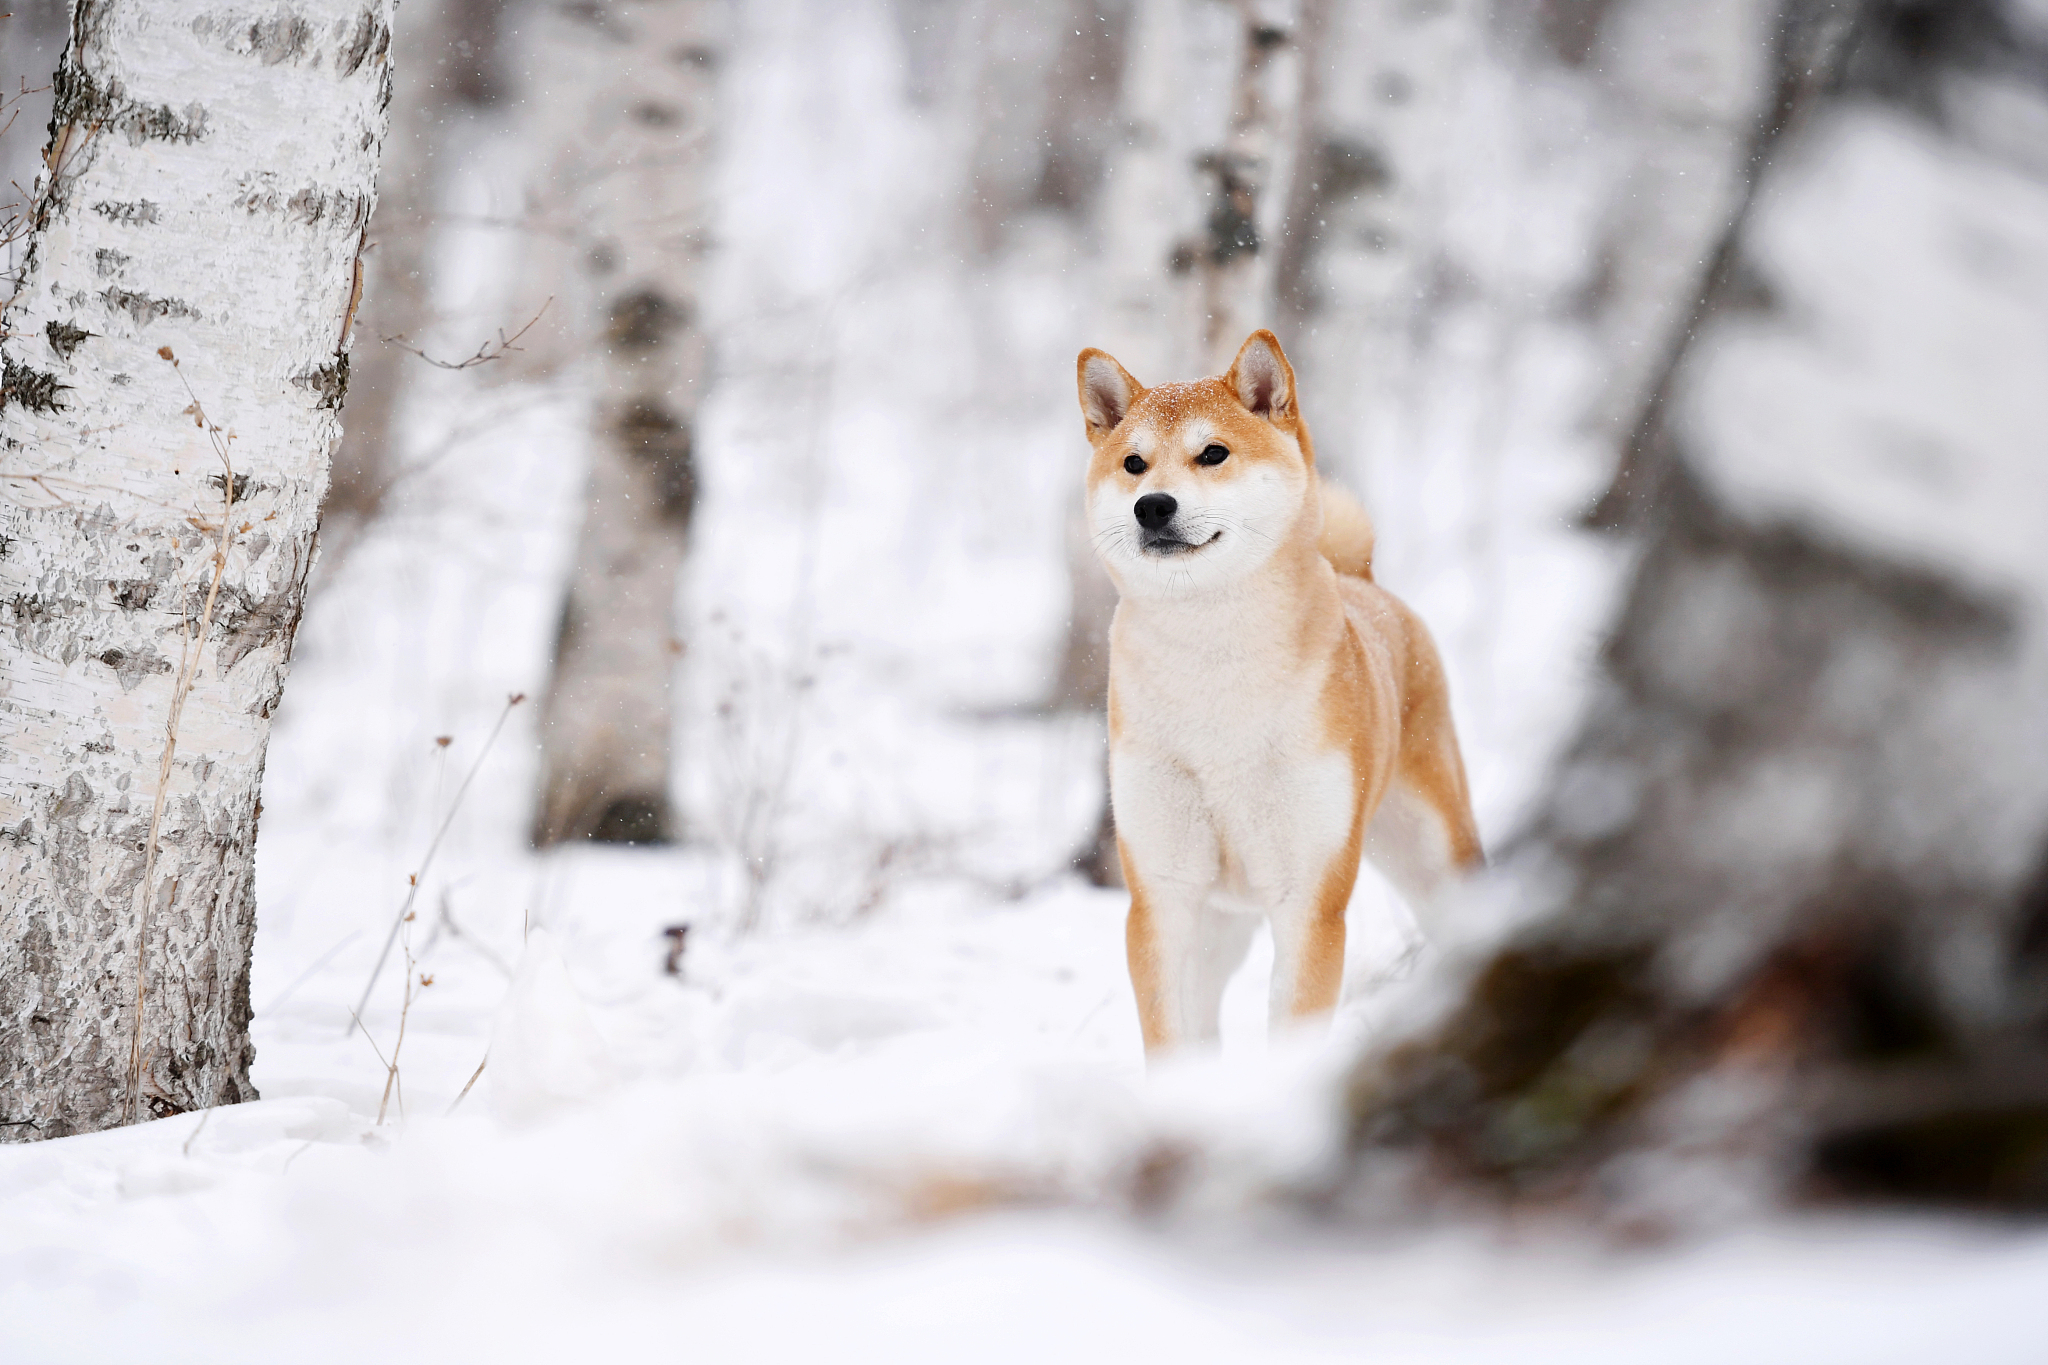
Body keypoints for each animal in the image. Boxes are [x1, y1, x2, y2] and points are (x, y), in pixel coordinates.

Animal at [1073, 331, 1490, 1055]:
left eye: (1213, 453)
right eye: (1133, 463)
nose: (1152, 505)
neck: (1212, 669)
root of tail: (1366, 581)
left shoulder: (1309, 899)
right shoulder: (1164, 896)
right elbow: (1172, 1041)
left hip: (1437, 857)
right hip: (1220, 923)